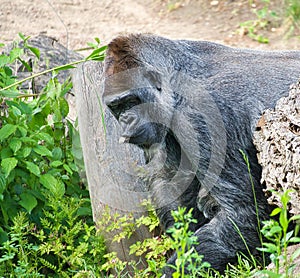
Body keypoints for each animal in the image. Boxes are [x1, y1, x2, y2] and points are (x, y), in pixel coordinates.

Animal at [101, 34, 300, 274]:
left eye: (131, 101)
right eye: (117, 107)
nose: (125, 120)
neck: (177, 78)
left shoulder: (205, 114)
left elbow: (241, 212)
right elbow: (171, 188)